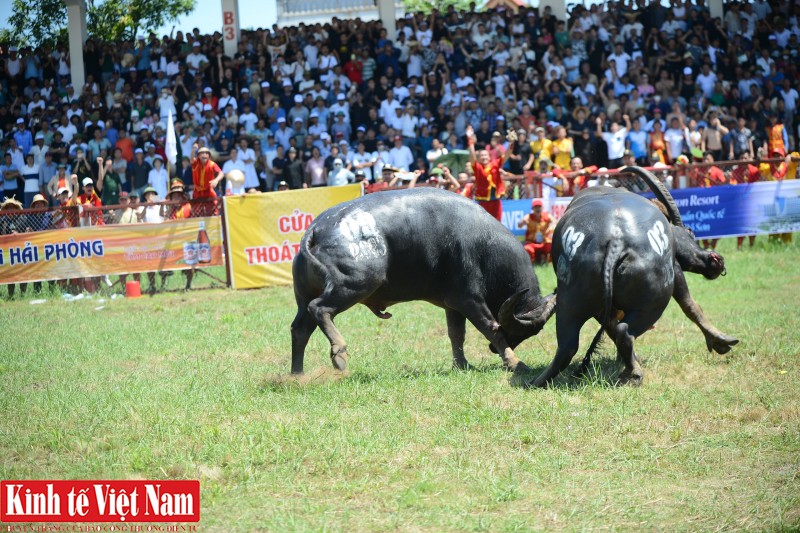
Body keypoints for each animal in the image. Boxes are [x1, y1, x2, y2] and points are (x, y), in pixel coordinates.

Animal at [290, 187, 560, 374]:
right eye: (520, 330)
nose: (493, 352)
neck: (484, 245)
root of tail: (317, 229)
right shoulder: (469, 299)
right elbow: (489, 327)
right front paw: (514, 361)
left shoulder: (453, 304)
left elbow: (456, 334)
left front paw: (462, 364)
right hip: (354, 284)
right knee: (320, 309)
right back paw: (339, 354)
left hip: (305, 297)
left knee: (300, 329)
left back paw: (297, 374)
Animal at [528, 166, 740, 386]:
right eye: (690, 232)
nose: (715, 260)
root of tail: (615, 241)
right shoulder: (676, 270)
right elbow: (691, 305)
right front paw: (721, 340)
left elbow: (610, 328)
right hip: (652, 303)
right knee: (624, 332)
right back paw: (634, 373)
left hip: (571, 301)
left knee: (568, 345)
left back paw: (539, 381)